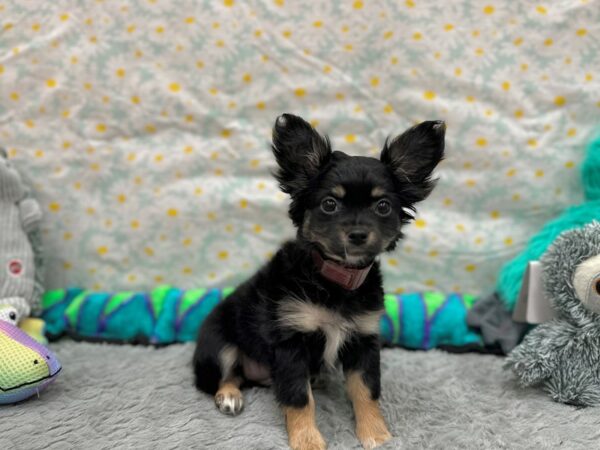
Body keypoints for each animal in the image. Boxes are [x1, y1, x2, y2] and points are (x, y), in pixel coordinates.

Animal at [193, 115, 446, 450]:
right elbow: (300, 398)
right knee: (225, 375)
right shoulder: (291, 343)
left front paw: (376, 434)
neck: (336, 279)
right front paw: (307, 440)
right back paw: (229, 396)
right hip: (219, 344)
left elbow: (366, 390)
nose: (357, 234)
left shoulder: (363, 339)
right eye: (329, 204)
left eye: (382, 207)